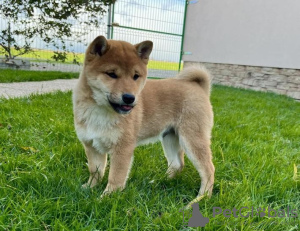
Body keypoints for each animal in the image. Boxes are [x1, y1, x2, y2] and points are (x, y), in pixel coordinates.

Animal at [72, 36, 214, 199]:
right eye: (111, 74)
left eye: (135, 76)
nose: (129, 98)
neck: (100, 110)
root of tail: (198, 87)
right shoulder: (91, 145)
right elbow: (95, 171)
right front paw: (89, 188)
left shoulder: (122, 148)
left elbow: (115, 177)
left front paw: (107, 197)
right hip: (170, 137)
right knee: (177, 164)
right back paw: (158, 181)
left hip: (192, 139)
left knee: (208, 169)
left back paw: (202, 197)